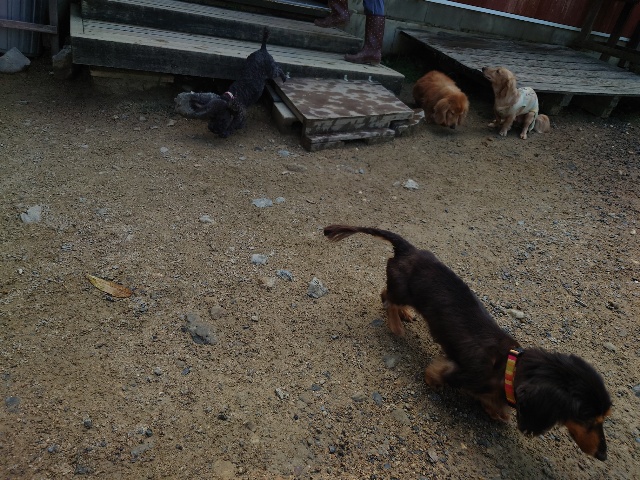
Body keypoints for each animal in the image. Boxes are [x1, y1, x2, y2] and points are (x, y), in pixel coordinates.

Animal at [324, 225, 611, 460]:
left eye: (602, 419)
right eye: (587, 418)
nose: (603, 455)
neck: (507, 367)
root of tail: (409, 249)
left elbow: (490, 400)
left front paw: (495, 410)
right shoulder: (459, 371)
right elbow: (438, 374)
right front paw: (436, 384)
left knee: (386, 295)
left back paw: (403, 314)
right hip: (403, 288)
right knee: (388, 298)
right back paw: (395, 324)